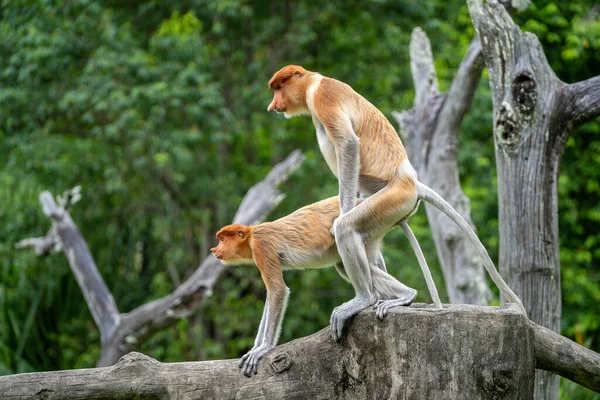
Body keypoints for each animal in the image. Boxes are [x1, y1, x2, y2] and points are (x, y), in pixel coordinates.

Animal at [211, 198, 436, 378]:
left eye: (223, 239)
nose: (215, 249)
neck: (251, 235)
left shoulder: (261, 246)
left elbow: (278, 290)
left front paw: (262, 349)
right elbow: (271, 295)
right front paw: (254, 348)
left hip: (365, 225)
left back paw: (399, 296)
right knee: (350, 266)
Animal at [268, 64, 524, 340]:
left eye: (279, 88)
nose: (273, 105)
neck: (311, 84)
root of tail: (412, 181)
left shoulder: (324, 96)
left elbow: (348, 144)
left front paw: (340, 215)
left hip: (393, 198)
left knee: (348, 228)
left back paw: (366, 297)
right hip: (386, 207)